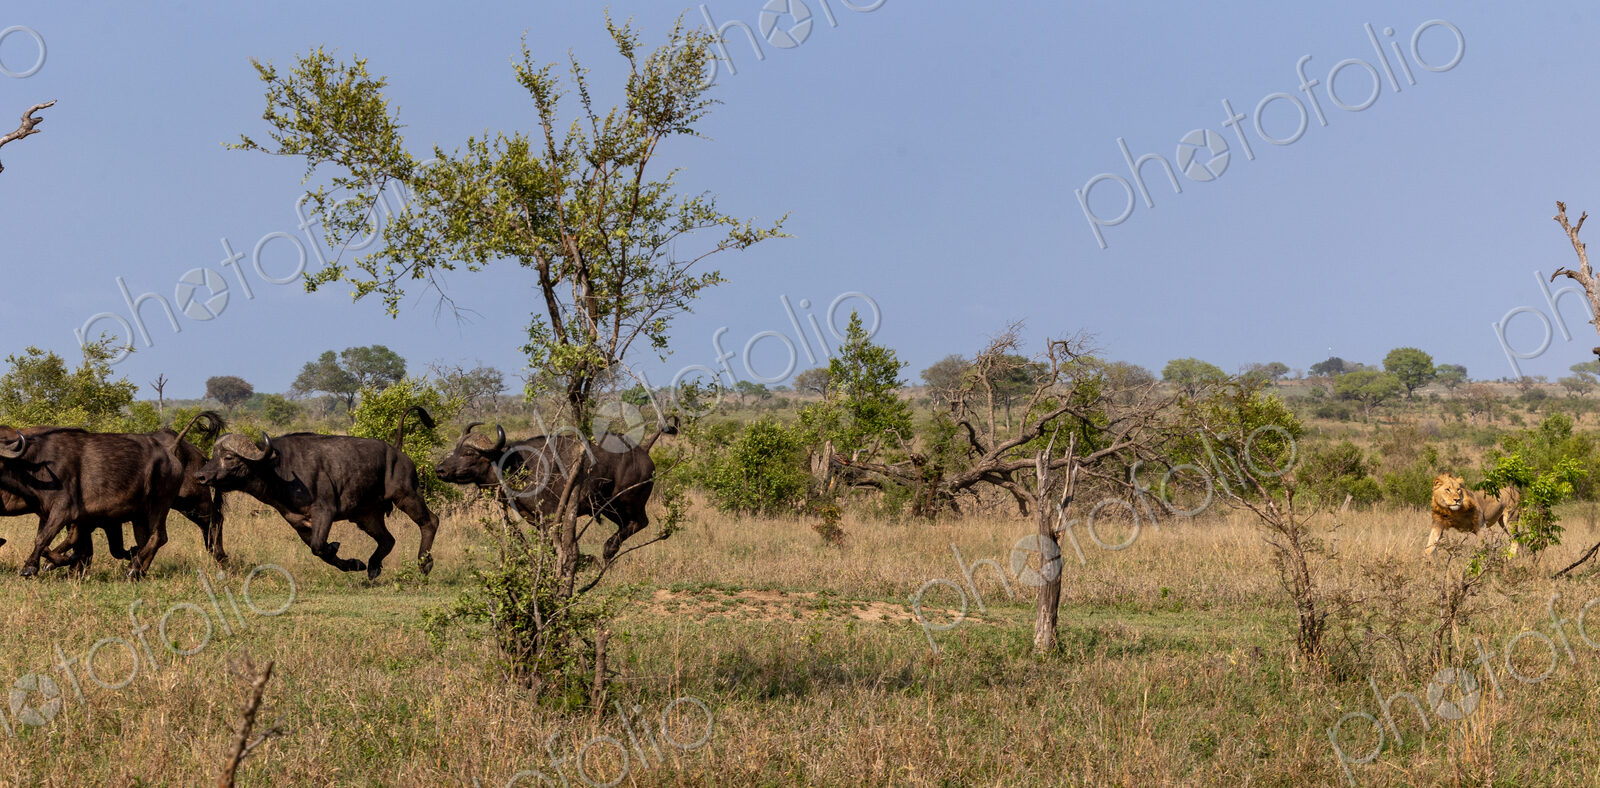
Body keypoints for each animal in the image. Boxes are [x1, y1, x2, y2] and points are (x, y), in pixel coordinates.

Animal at [193, 405, 440, 579]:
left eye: (228, 457)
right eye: (213, 456)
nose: (200, 477)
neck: (278, 470)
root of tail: (397, 452)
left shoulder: (325, 511)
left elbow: (319, 546)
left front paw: (337, 550)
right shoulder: (297, 521)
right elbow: (319, 549)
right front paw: (353, 563)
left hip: (407, 495)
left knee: (430, 521)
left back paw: (424, 563)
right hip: (366, 516)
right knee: (388, 540)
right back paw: (372, 566)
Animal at [434, 418, 674, 566]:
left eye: (468, 453)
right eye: (456, 450)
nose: (440, 469)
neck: (514, 466)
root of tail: (644, 454)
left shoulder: (550, 517)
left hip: (627, 502)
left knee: (639, 522)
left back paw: (607, 549)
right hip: (607, 507)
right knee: (627, 525)